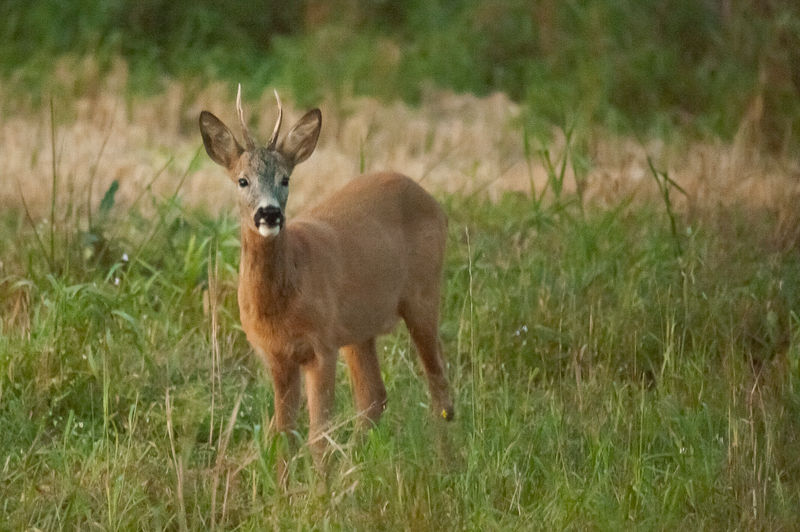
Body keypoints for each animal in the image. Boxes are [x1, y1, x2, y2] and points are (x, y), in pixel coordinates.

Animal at [198, 87, 454, 478]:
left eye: (286, 179)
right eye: (242, 180)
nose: (269, 214)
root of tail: (431, 199)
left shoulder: (321, 345)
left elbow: (318, 435)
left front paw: (320, 491)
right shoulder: (276, 356)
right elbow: (283, 433)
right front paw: (285, 490)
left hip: (423, 294)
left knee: (439, 385)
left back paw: (446, 465)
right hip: (358, 328)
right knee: (374, 397)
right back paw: (361, 466)